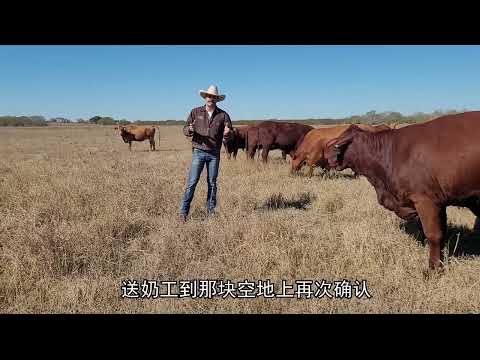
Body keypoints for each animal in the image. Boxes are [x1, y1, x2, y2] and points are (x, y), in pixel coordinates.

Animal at [322, 111, 480, 272]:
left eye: (342, 142)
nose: (327, 154)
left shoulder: (426, 200)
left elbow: (434, 235)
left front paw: (433, 269)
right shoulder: (440, 202)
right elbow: (442, 233)